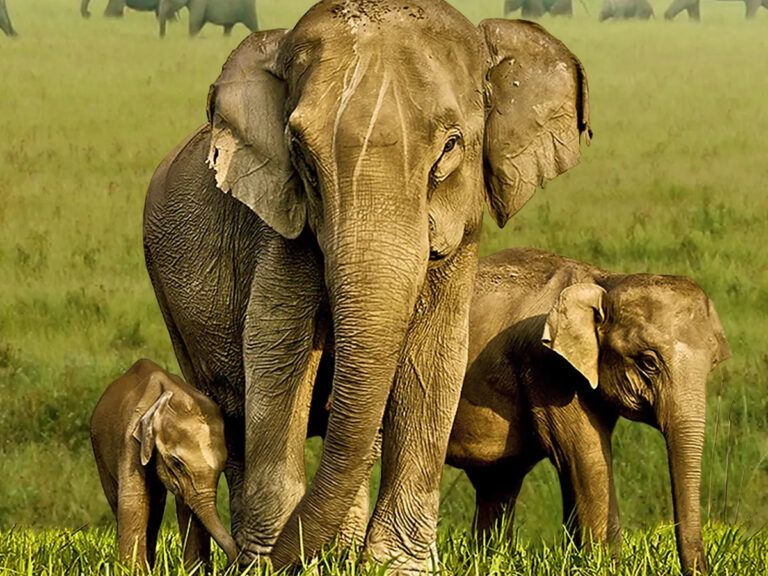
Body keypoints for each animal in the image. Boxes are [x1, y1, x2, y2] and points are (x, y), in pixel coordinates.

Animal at [90, 359, 238, 568]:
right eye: (176, 463)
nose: (228, 565)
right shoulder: (129, 439)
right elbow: (133, 501)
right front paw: (133, 570)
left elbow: (187, 506)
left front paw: (193, 569)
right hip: (99, 451)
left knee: (155, 508)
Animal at [143, 1, 591, 571]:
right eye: (301, 156)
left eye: (450, 148)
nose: (267, 560)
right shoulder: (282, 229)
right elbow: (275, 350)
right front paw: (274, 563)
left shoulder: (459, 237)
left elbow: (435, 357)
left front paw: (394, 567)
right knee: (233, 412)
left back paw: (336, 550)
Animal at [446, 248, 730, 576]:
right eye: (648, 362)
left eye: (712, 364)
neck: (605, 281)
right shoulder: (549, 368)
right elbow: (586, 459)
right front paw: (605, 566)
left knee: (498, 483)